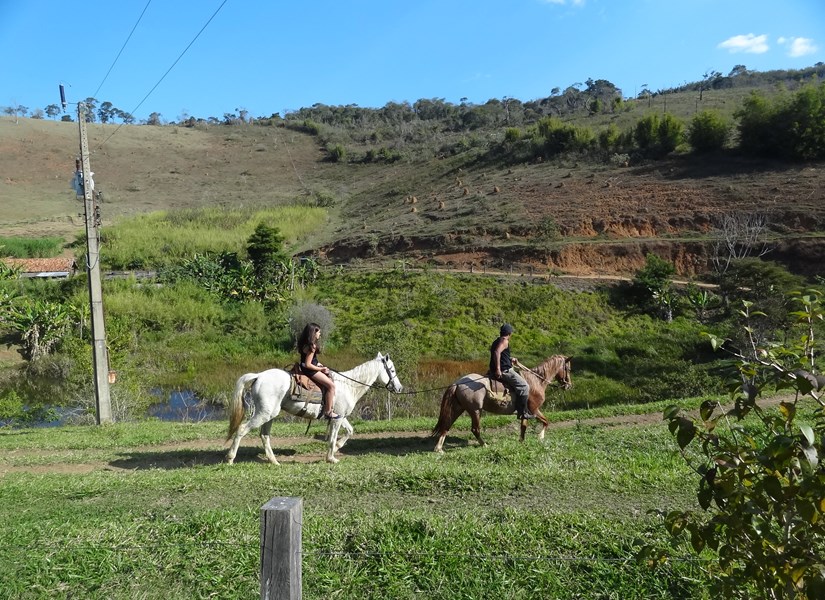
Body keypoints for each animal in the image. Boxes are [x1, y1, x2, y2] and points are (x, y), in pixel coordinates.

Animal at [225, 352, 402, 464]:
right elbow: (333, 437)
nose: (399, 388)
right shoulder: (337, 419)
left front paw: (336, 449)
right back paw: (230, 458)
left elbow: (349, 431)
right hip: (263, 413)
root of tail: (259, 376)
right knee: (242, 429)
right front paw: (331, 458)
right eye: (392, 369)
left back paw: (274, 461)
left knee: (264, 436)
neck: (348, 386)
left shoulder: (339, 416)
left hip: (270, 414)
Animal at [432, 354, 572, 452]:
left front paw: (521, 442)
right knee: (475, 429)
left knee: (447, 424)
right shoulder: (534, 410)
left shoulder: (525, 413)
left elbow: (524, 426)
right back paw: (484, 445)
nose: (569, 385)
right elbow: (546, 422)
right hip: (475, 411)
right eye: (568, 368)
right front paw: (540, 437)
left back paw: (439, 448)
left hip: (458, 408)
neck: (536, 381)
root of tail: (458, 383)